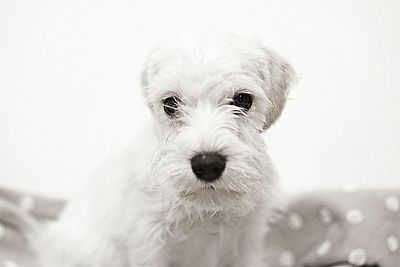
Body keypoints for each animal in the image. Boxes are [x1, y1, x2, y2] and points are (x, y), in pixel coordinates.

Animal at [36, 33, 296, 267]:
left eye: (243, 99)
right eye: (170, 104)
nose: (207, 164)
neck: (206, 211)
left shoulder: (245, 242)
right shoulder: (149, 244)